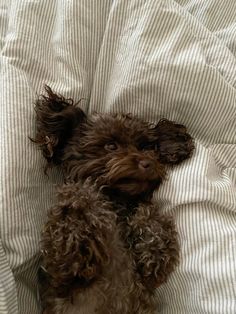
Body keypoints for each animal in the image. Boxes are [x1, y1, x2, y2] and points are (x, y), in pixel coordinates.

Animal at [33, 86, 195, 314]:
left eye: (146, 147)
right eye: (111, 146)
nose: (147, 163)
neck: (116, 201)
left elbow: (150, 213)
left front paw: (154, 252)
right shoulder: (58, 277)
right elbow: (77, 195)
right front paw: (78, 232)